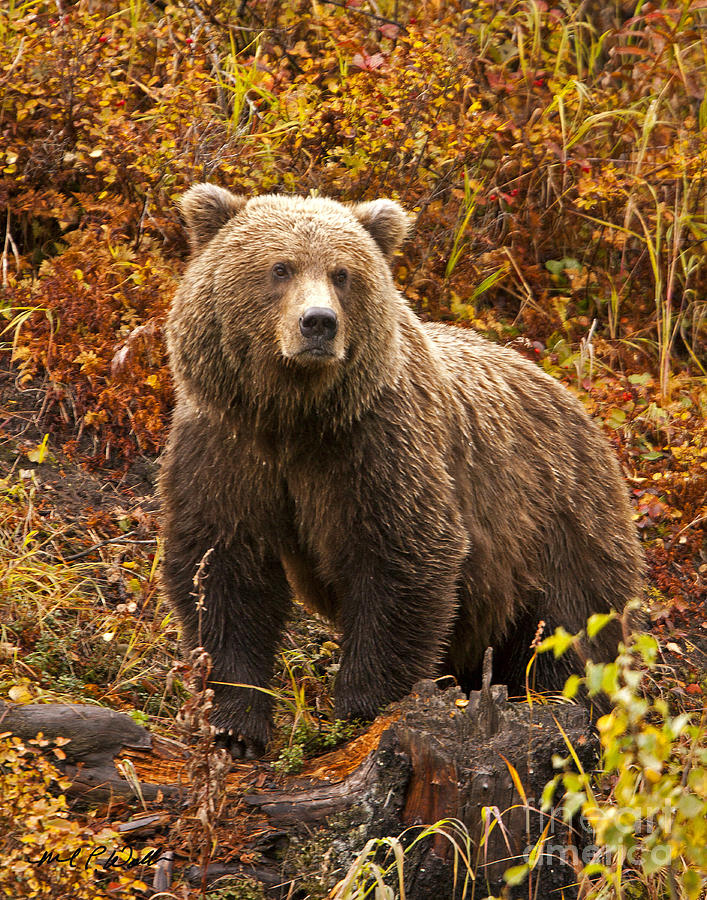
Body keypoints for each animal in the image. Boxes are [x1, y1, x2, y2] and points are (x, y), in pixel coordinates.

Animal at [162, 186, 648, 756]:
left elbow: (400, 559)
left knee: (569, 641)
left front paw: (362, 707)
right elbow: (223, 570)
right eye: (280, 267)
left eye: (343, 273)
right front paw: (236, 726)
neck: (294, 414)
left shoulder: (376, 447)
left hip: (559, 532)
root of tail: (585, 414)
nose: (318, 322)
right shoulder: (226, 446)